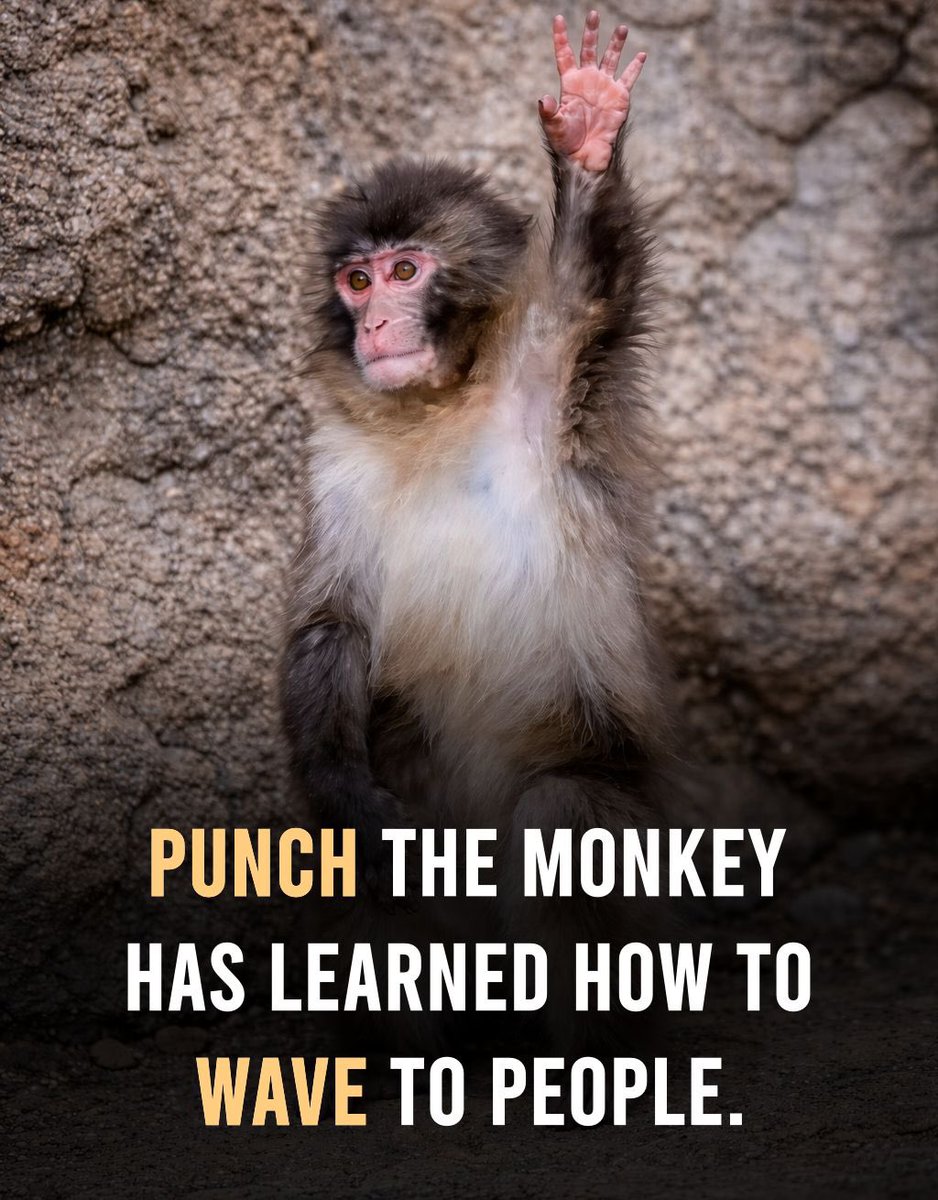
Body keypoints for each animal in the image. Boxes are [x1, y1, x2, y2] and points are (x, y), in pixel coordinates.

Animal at [281, 11, 670, 1056]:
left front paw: (587, 134)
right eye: (356, 277)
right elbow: (333, 623)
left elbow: (586, 284)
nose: (375, 321)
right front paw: (341, 794)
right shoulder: (339, 456)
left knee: (565, 816)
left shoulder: (551, 367)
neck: (436, 405)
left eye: (407, 271)